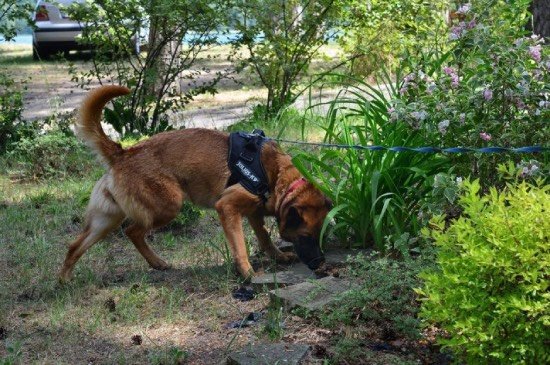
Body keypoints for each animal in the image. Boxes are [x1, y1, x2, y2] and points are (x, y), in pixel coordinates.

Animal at [59, 86, 332, 282]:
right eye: (306, 235)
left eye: (322, 235)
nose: (320, 262)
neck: (275, 175)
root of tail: (123, 153)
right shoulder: (227, 208)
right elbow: (240, 246)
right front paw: (247, 273)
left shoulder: (253, 212)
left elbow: (264, 237)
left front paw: (278, 256)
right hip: (168, 206)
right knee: (132, 231)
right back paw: (155, 262)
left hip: (106, 221)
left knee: (75, 246)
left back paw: (65, 280)